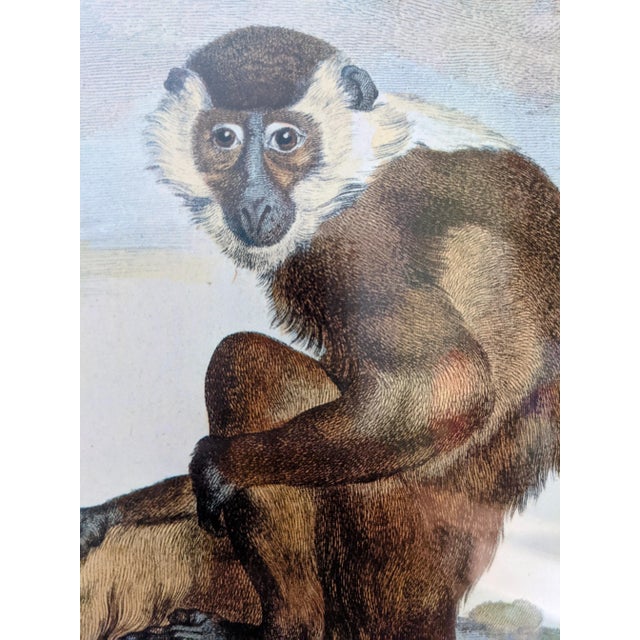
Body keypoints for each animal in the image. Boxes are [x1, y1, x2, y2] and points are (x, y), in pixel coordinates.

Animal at [80, 26, 559, 640]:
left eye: (286, 139)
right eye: (223, 138)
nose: (254, 203)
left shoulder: (361, 238)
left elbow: (448, 384)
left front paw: (220, 466)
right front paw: (111, 512)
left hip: (382, 539)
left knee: (243, 361)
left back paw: (284, 626)